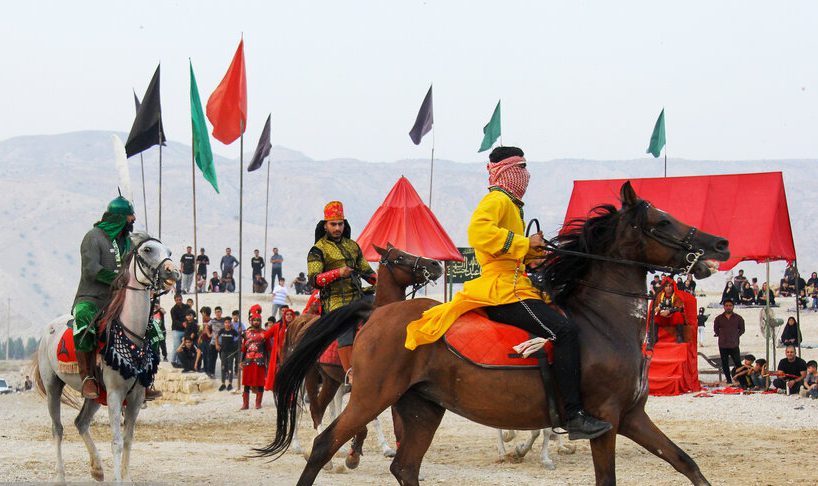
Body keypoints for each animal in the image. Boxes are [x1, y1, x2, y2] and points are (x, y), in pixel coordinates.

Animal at [33, 235, 178, 482]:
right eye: (148, 249)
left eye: (168, 251)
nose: (173, 272)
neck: (132, 332)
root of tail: (47, 330)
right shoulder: (115, 394)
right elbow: (117, 441)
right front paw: (118, 479)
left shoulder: (136, 397)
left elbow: (129, 439)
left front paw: (127, 479)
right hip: (54, 385)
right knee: (57, 428)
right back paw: (61, 476)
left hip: (95, 395)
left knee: (80, 422)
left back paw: (97, 469)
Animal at [262, 183, 728, 486]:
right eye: (661, 221)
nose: (720, 244)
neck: (605, 322)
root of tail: (377, 315)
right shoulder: (606, 420)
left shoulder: (632, 416)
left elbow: (686, 462)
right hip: (369, 394)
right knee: (324, 442)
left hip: (421, 406)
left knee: (406, 467)